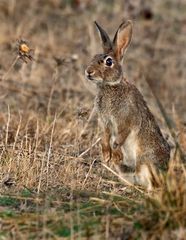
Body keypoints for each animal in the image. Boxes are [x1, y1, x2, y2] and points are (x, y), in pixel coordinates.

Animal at [84, 20, 170, 189]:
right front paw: (106, 155)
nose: (89, 72)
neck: (111, 86)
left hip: (147, 162)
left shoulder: (127, 120)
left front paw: (116, 154)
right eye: (93, 57)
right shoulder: (105, 121)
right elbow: (105, 137)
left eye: (108, 62)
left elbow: (119, 138)